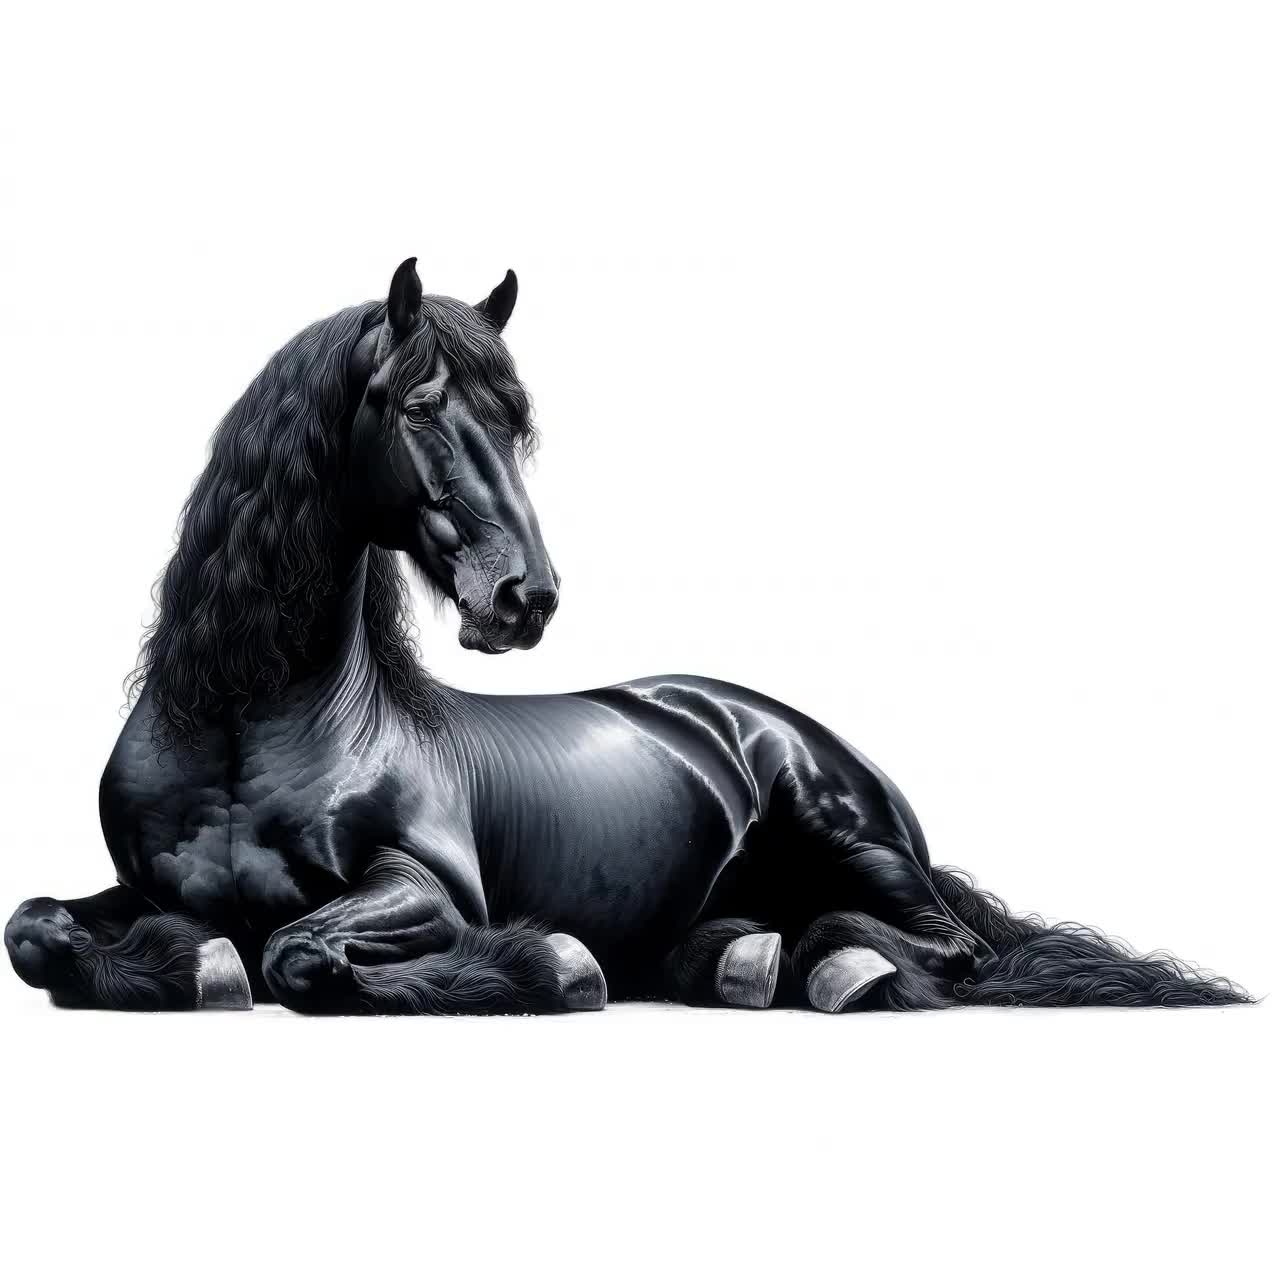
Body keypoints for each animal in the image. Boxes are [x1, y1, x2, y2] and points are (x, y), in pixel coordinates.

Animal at [5, 259, 1249, 1015]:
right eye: (419, 408)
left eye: (515, 423)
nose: (524, 597)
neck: (245, 726)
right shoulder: (128, 883)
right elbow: (35, 929)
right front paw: (183, 955)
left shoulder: (431, 888)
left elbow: (300, 949)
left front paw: (551, 960)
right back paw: (740, 958)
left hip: (849, 837)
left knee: (943, 943)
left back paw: (825, 964)